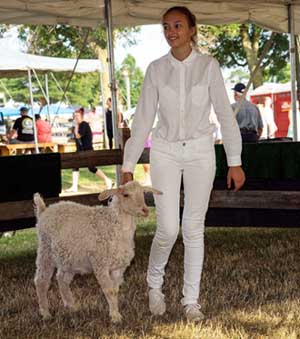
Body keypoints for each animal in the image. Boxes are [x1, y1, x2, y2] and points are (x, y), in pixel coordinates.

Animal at [32, 182, 162, 322]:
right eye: (126, 195)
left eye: (143, 193)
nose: (145, 210)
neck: (114, 226)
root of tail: (44, 210)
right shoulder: (100, 264)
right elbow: (109, 290)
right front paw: (115, 317)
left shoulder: (118, 268)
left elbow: (115, 290)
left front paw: (115, 312)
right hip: (45, 250)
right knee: (41, 281)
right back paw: (45, 313)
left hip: (69, 258)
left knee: (61, 278)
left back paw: (71, 306)